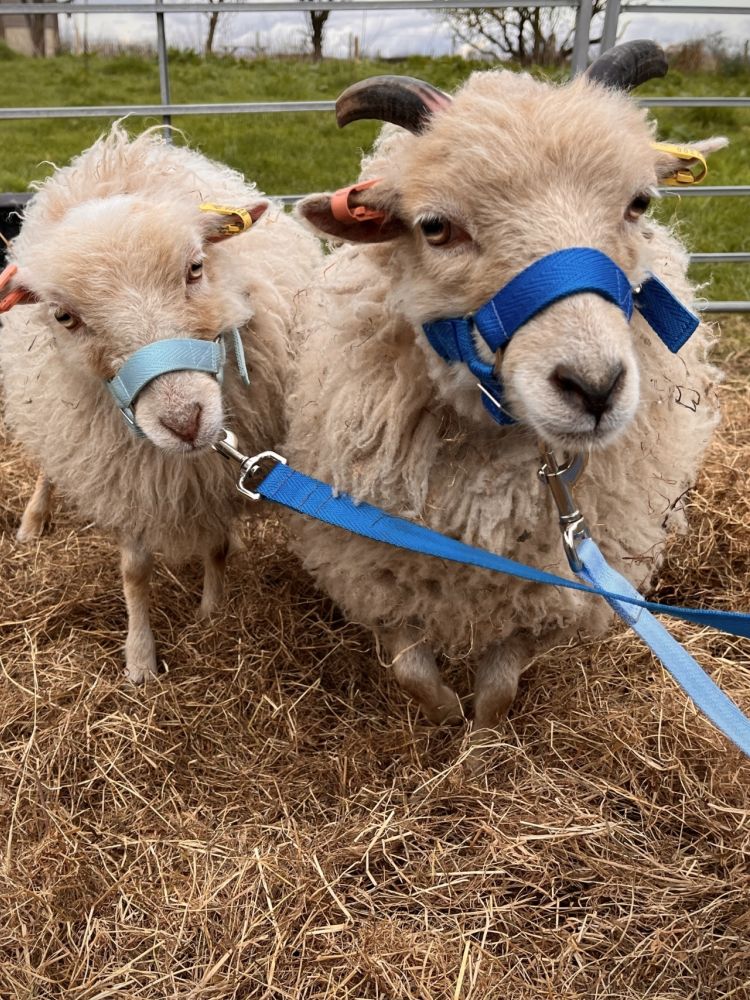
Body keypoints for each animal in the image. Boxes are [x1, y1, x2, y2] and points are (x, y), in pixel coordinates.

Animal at [0, 124, 321, 682]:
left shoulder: (217, 479)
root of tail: (116, 148)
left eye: (195, 267)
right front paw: (140, 659)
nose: (184, 421)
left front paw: (213, 614)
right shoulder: (123, 475)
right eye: (64, 316)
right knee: (47, 467)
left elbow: (216, 546)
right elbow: (135, 570)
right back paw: (34, 520)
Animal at [285, 41, 727, 732]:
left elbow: (499, 687)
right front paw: (444, 719)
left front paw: (482, 733)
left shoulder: (555, 596)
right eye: (435, 227)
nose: (594, 387)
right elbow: (413, 672)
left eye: (639, 204)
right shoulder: (369, 570)